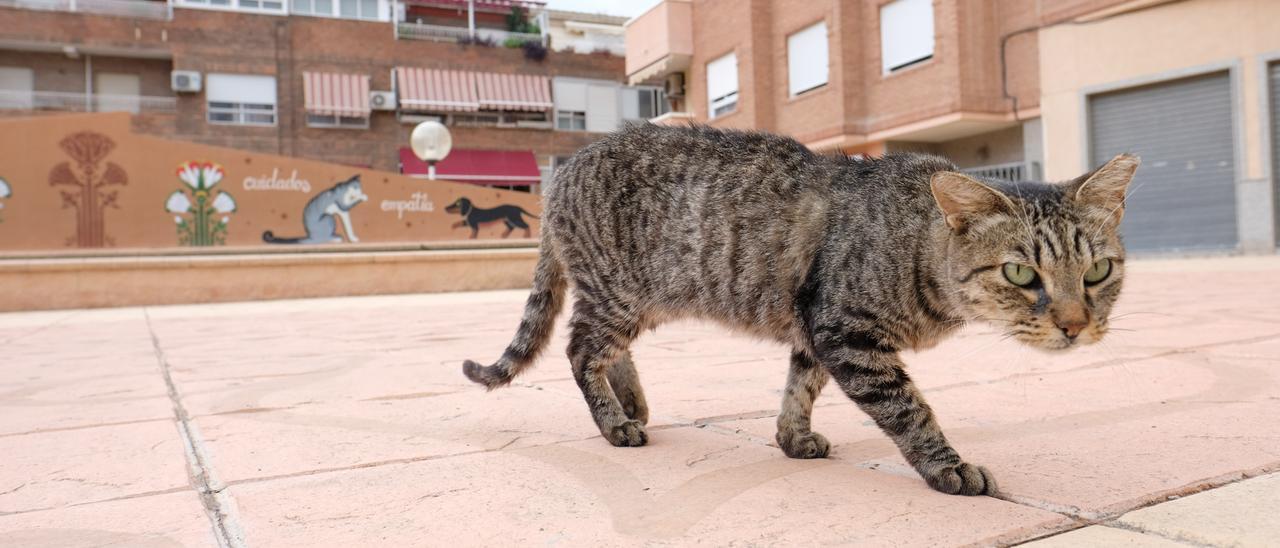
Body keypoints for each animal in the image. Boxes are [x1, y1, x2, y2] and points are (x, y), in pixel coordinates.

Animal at [463, 124, 1141, 496]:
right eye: (1021, 273)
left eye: (1098, 272)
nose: (1075, 325)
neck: (918, 248)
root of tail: (562, 172)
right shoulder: (847, 333)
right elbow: (911, 411)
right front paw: (948, 468)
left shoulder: (815, 329)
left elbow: (800, 386)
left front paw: (792, 437)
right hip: (619, 291)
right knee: (580, 348)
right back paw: (614, 422)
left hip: (638, 299)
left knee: (606, 349)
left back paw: (629, 402)